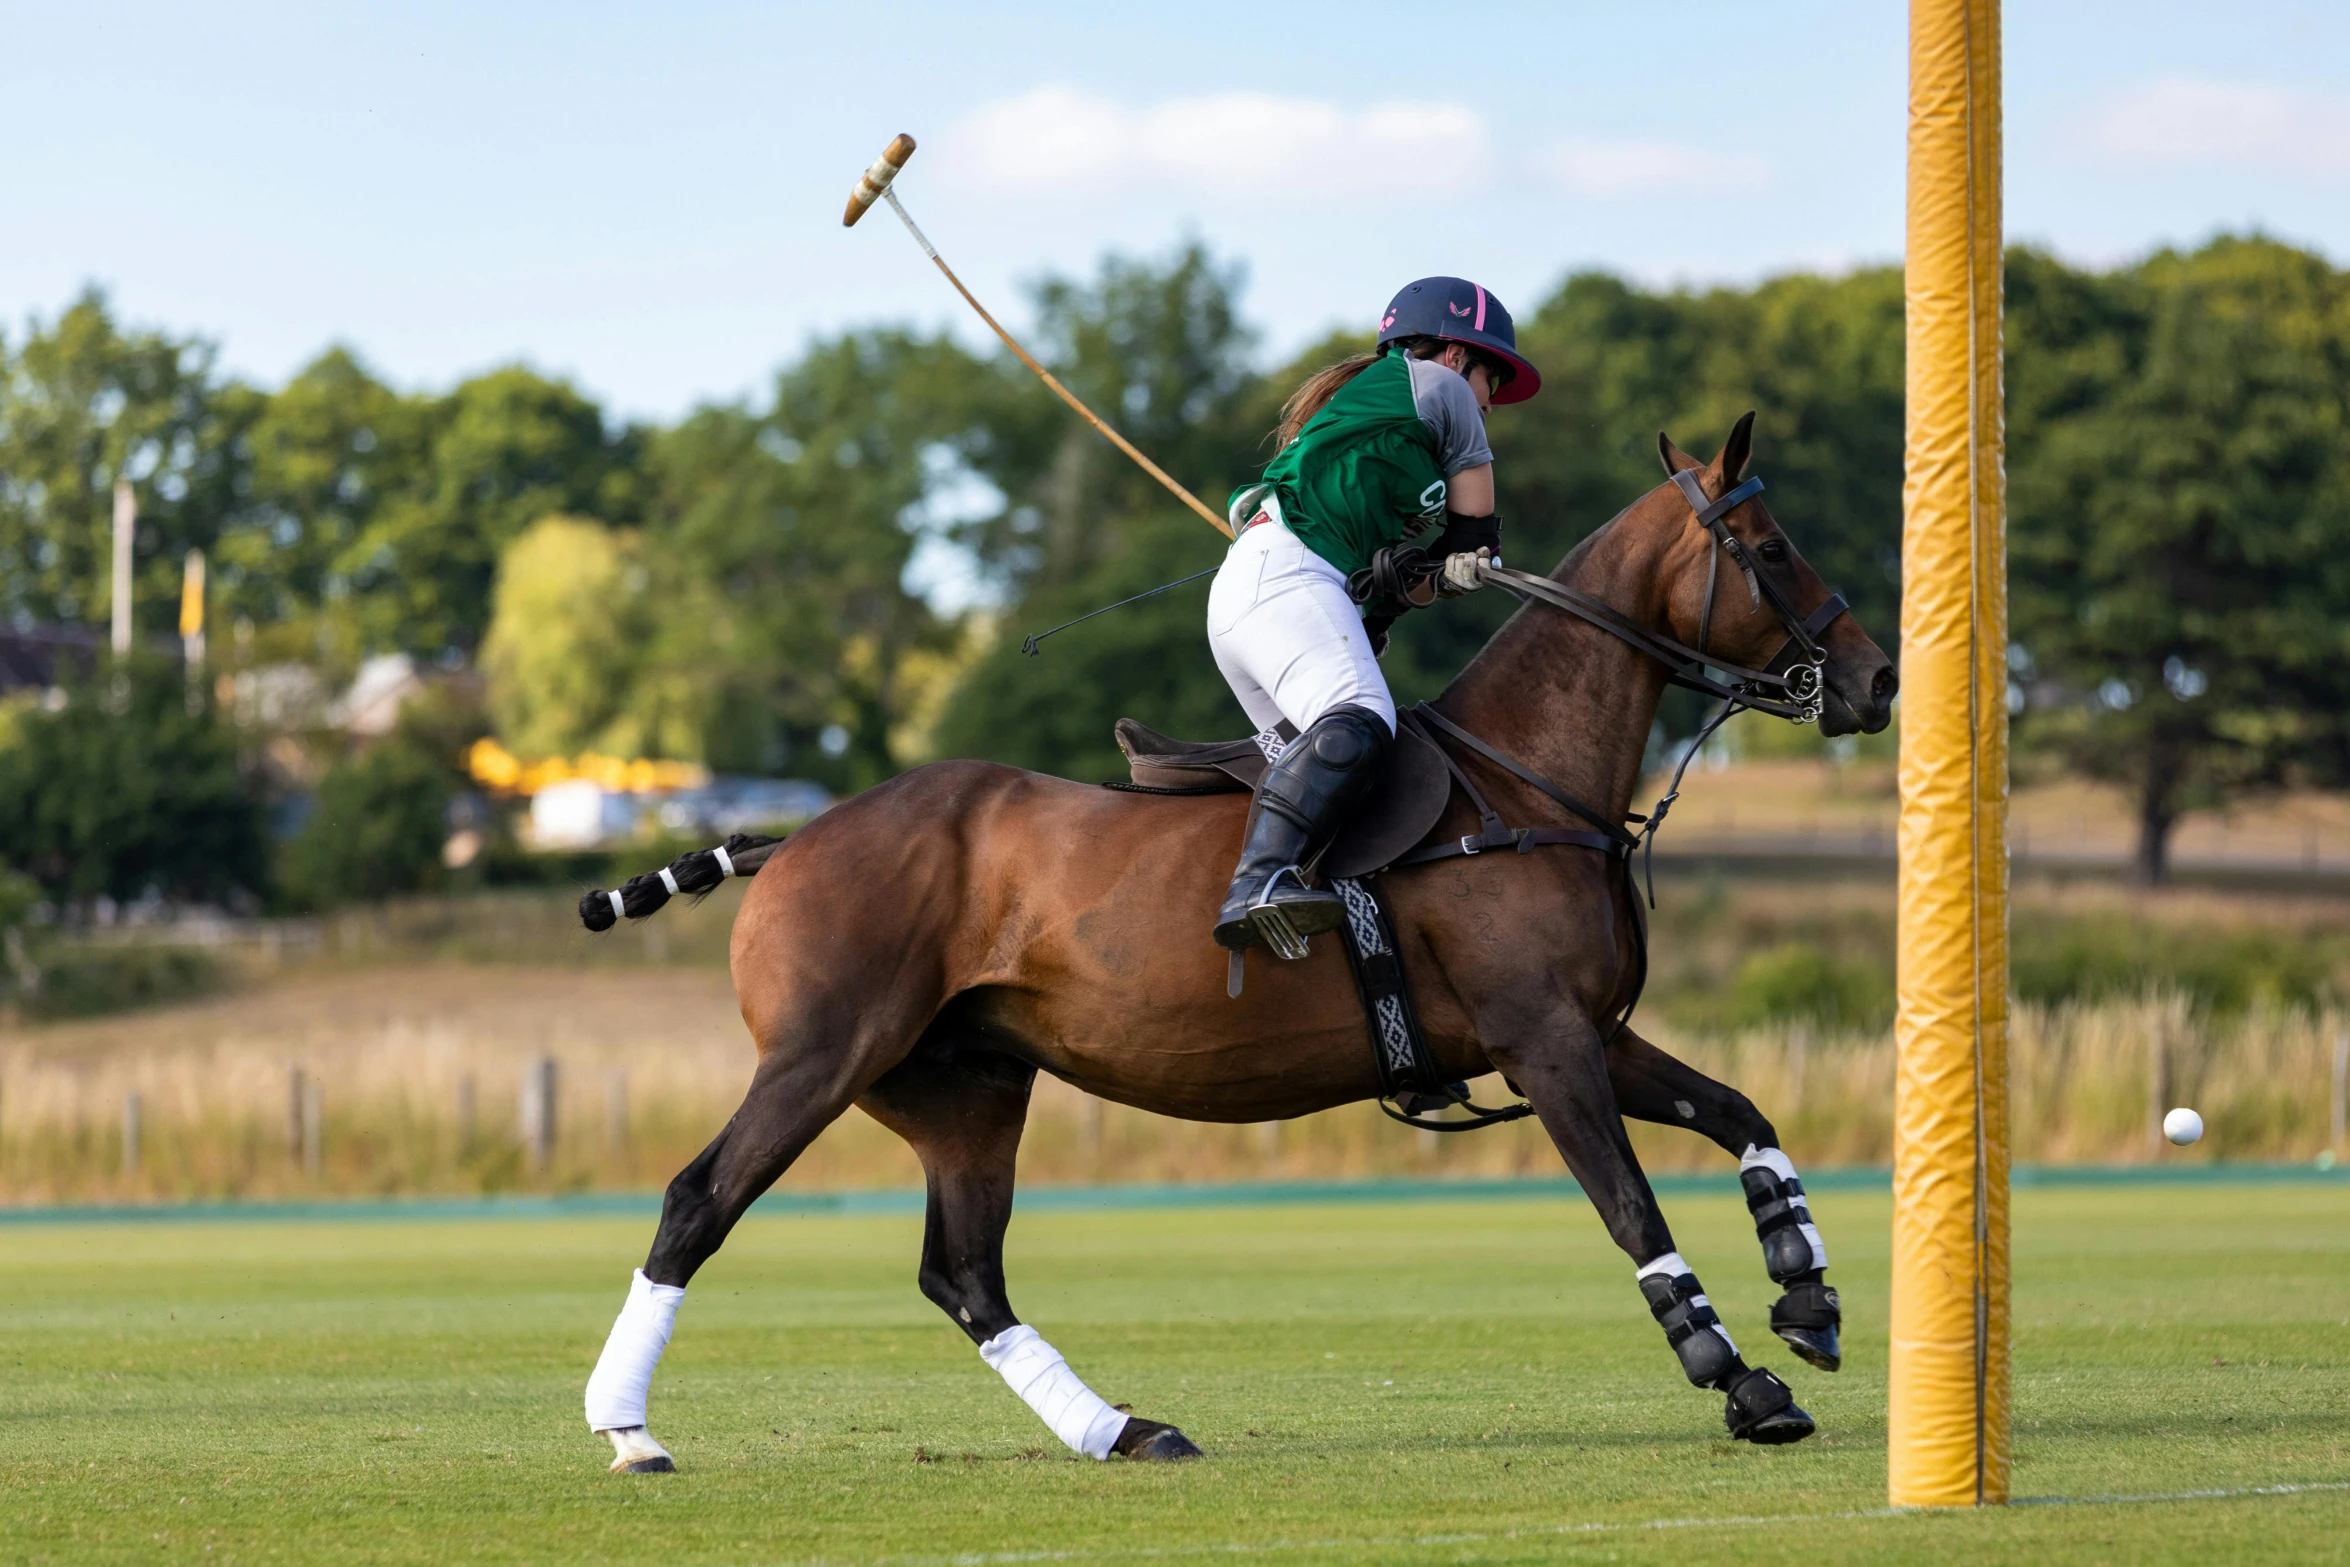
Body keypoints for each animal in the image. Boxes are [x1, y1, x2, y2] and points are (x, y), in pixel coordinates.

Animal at [582, 413, 1889, 1475]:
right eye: (1772, 547)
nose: (1873, 682)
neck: (1524, 776)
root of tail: (792, 837)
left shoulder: (1585, 1030)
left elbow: (1741, 1111)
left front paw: (1807, 1295)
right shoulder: (1544, 1039)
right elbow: (1633, 1210)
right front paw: (1740, 1381)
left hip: (967, 1086)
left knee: (964, 1272)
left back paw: (1124, 1430)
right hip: (824, 1054)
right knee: (700, 1199)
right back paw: (628, 1428)